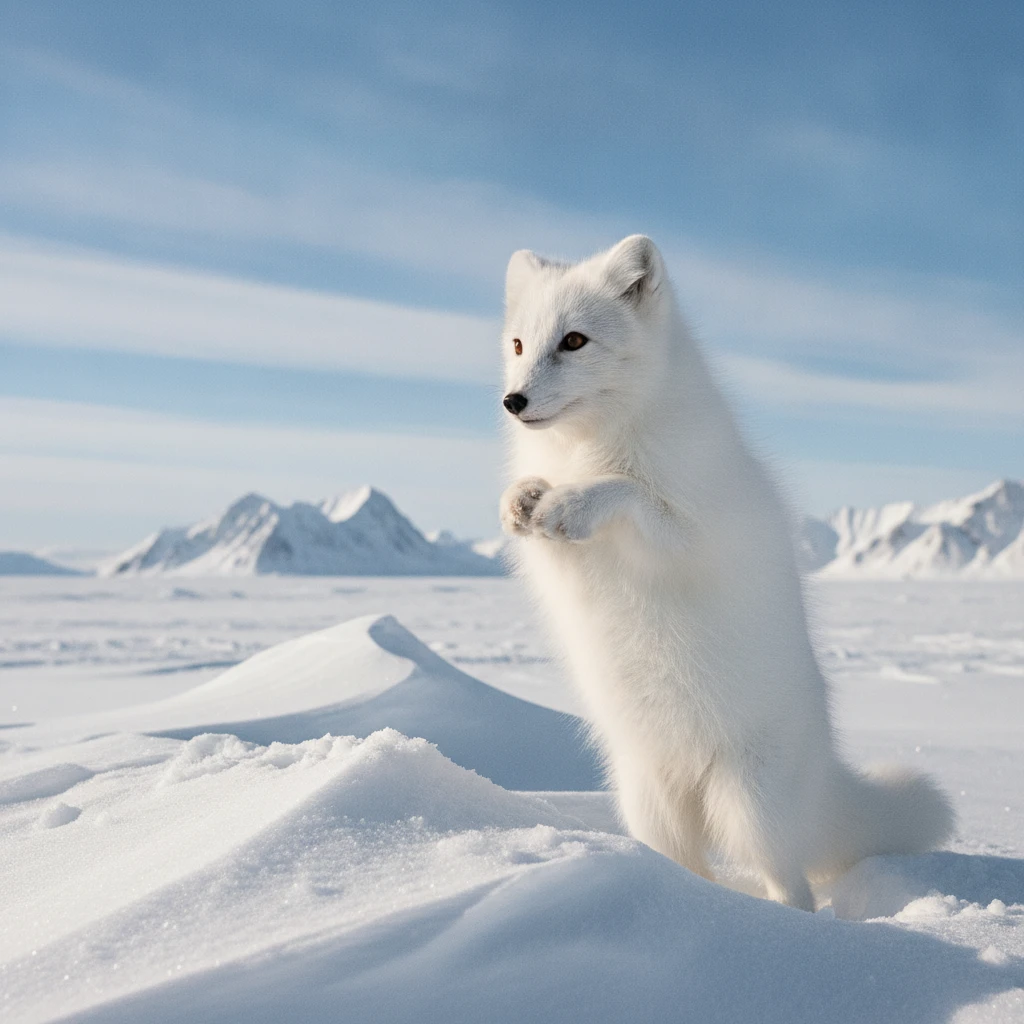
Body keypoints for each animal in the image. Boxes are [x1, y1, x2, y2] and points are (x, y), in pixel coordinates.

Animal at [498, 234, 954, 910]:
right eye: (519, 345)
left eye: (574, 340)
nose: (514, 401)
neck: (590, 445)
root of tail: (824, 773)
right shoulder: (561, 568)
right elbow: (541, 532)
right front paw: (522, 499)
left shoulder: (698, 537)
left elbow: (631, 494)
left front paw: (573, 503)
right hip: (650, 802)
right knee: (690, 870)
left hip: (748, 805)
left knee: (791, 884)